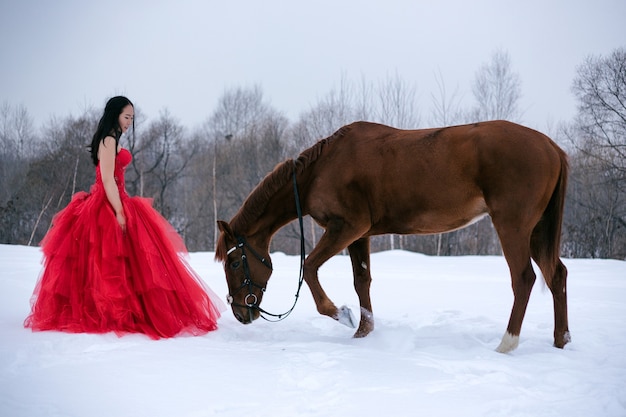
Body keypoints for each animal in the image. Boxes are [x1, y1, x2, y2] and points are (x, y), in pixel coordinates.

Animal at [217, 119, 568, 352]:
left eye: (233, 263)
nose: (240, 312)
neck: (320, 171)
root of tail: (551, 147)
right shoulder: (359, 235)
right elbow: (362, 281)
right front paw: (363, 331)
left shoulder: (346, 227)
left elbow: (311, 266)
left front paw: (340, 314)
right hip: (537, 231)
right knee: (557, 276)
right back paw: (560, 340)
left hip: (513, 226)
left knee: (524, 279)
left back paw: (506, 344)